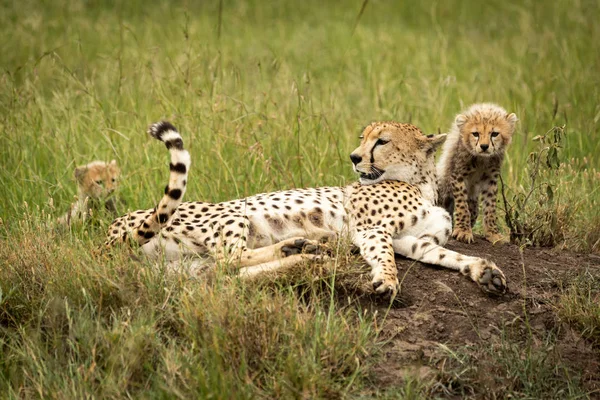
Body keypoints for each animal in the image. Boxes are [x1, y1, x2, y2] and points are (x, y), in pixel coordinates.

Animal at [105, 120, 508, 296]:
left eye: (381, 141)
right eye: (363, 138)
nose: (354, 157)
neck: (418, 181)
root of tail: (106, 234)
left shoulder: (415, 242)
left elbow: (450, 256)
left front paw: (484, 271)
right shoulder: (372, 231)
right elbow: (385, 257)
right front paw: (387, 280)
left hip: (186, 268)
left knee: (224, 274)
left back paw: (303, 254)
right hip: (231, 212)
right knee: (229, 258)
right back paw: (300, 249)